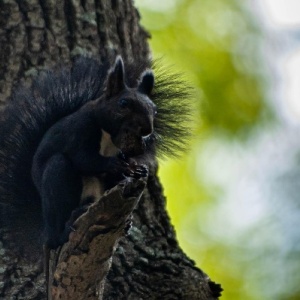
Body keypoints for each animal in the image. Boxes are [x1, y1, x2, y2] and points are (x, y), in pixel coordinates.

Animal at [0, 56, 192, 258]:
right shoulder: (79, 131)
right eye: (123, 104)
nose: (147, 129)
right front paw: (117, 165)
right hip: (57, 182)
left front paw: (138, 169)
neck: (108, 134)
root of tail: (44, 230)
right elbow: (84, 159)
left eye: (154, 110)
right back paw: (65, 229)